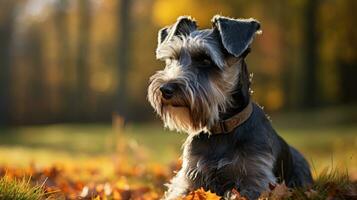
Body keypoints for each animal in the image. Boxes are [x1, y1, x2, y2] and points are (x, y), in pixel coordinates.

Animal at [147, 14, 312, 199]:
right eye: (172, 59)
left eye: (205, 59)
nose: (165, 89)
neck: (222, 128)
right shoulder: (189, 179)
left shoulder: (256, 179)